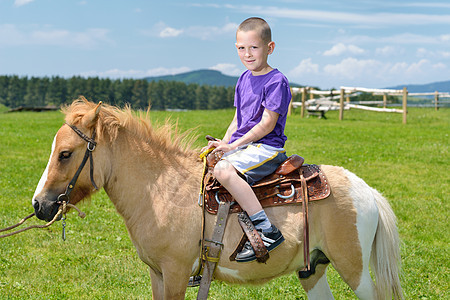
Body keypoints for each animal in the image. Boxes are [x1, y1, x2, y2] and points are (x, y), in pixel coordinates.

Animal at [32, 100, 404, 300]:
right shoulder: (157, 273)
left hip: (354, 269)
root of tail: (367, 191)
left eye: (65, 154)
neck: (161, 188)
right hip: (313, 269)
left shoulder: (177, 272)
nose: (39, 205)